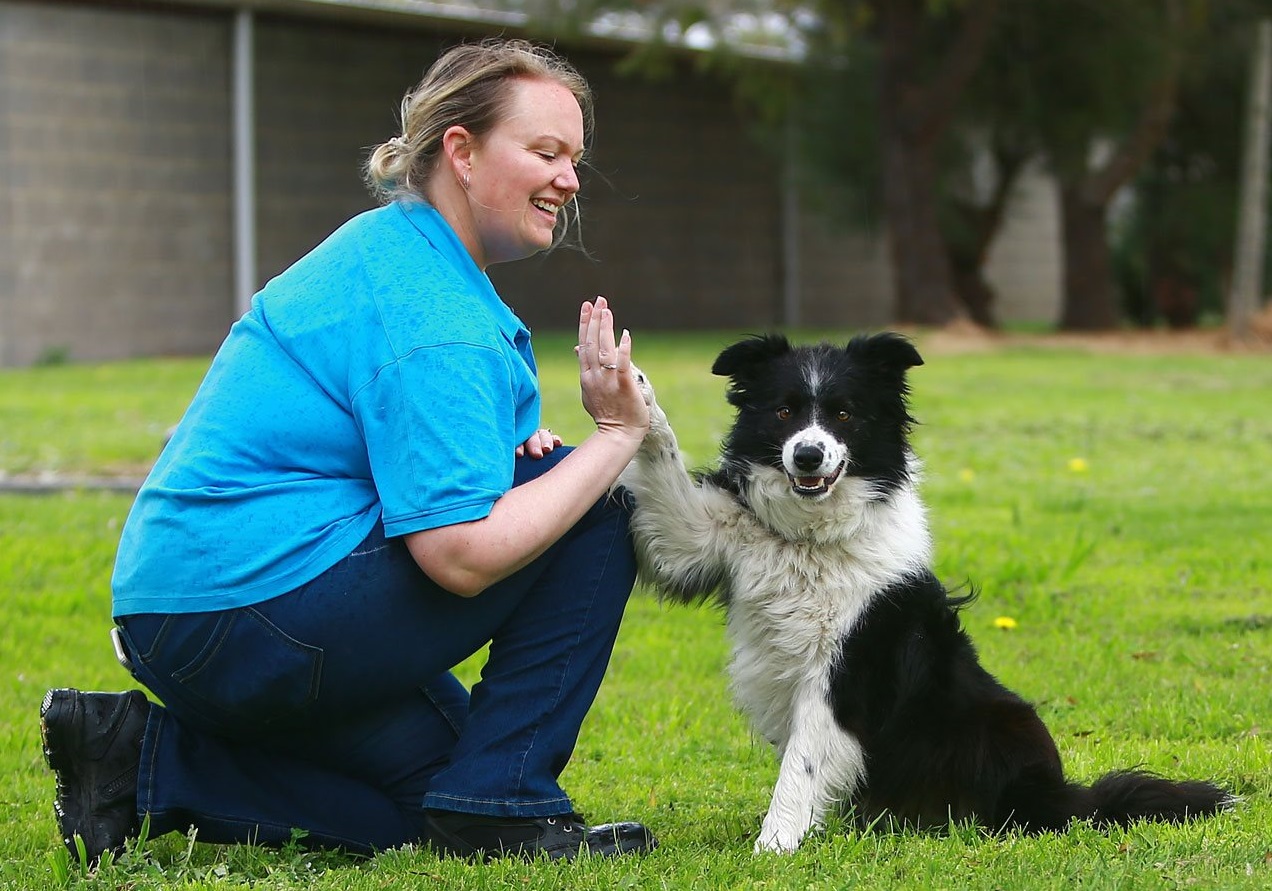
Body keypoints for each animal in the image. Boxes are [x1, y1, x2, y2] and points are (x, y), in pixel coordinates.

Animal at [620, 333, 1226, 850]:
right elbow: (668, 483)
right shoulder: (702, 540)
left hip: (1000, 725)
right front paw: (633, 390)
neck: (813, 535)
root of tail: (1069, 797)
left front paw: (775, 847)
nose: (808, 455)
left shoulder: (845, 671)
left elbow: (802, 768)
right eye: (784, 411)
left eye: (844, 413)